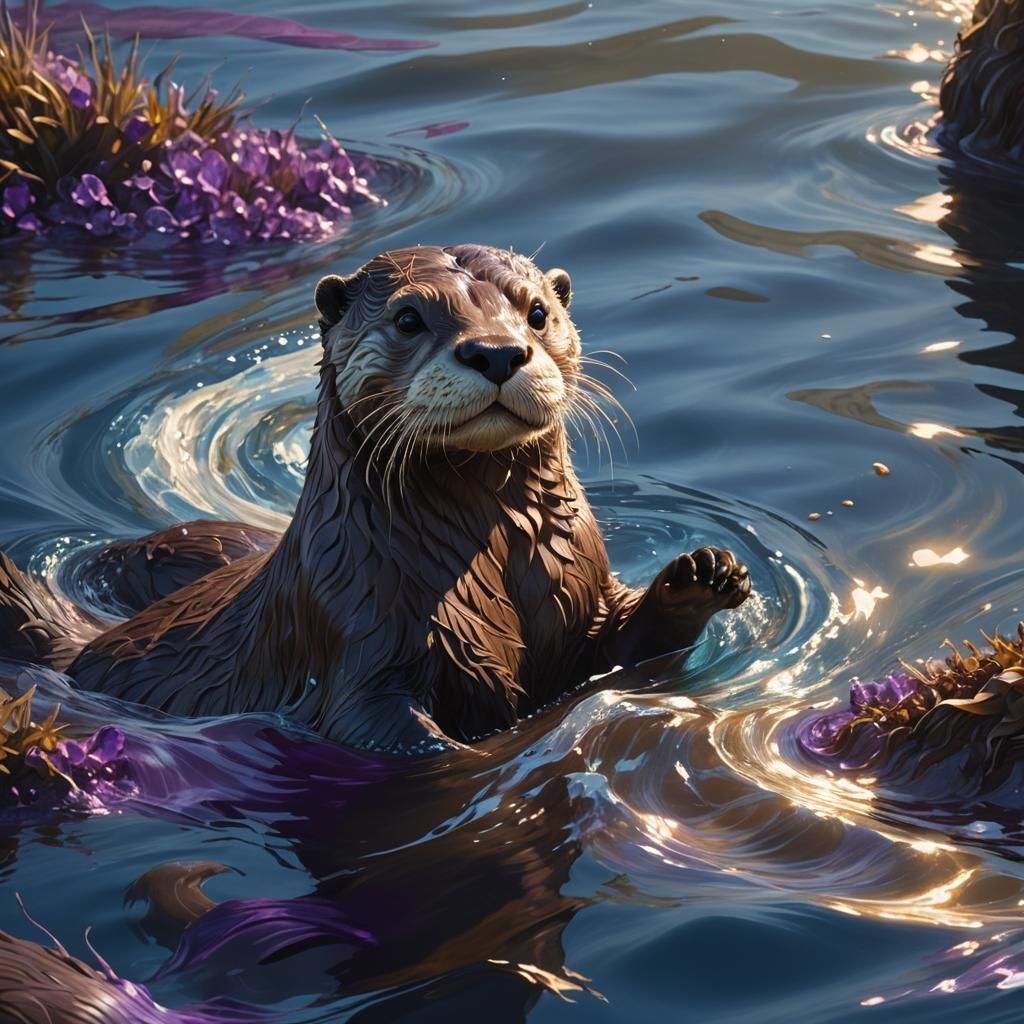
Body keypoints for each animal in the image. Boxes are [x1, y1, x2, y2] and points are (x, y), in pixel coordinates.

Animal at [0, 245, 750, 752]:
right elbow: (383, 727)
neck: (491, 568)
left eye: (538, 312)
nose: (497, 351)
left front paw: (703, 574)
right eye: (410, 318)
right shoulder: (361, 631)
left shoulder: (579, 597)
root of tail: (81, 650)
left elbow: (625, 642)